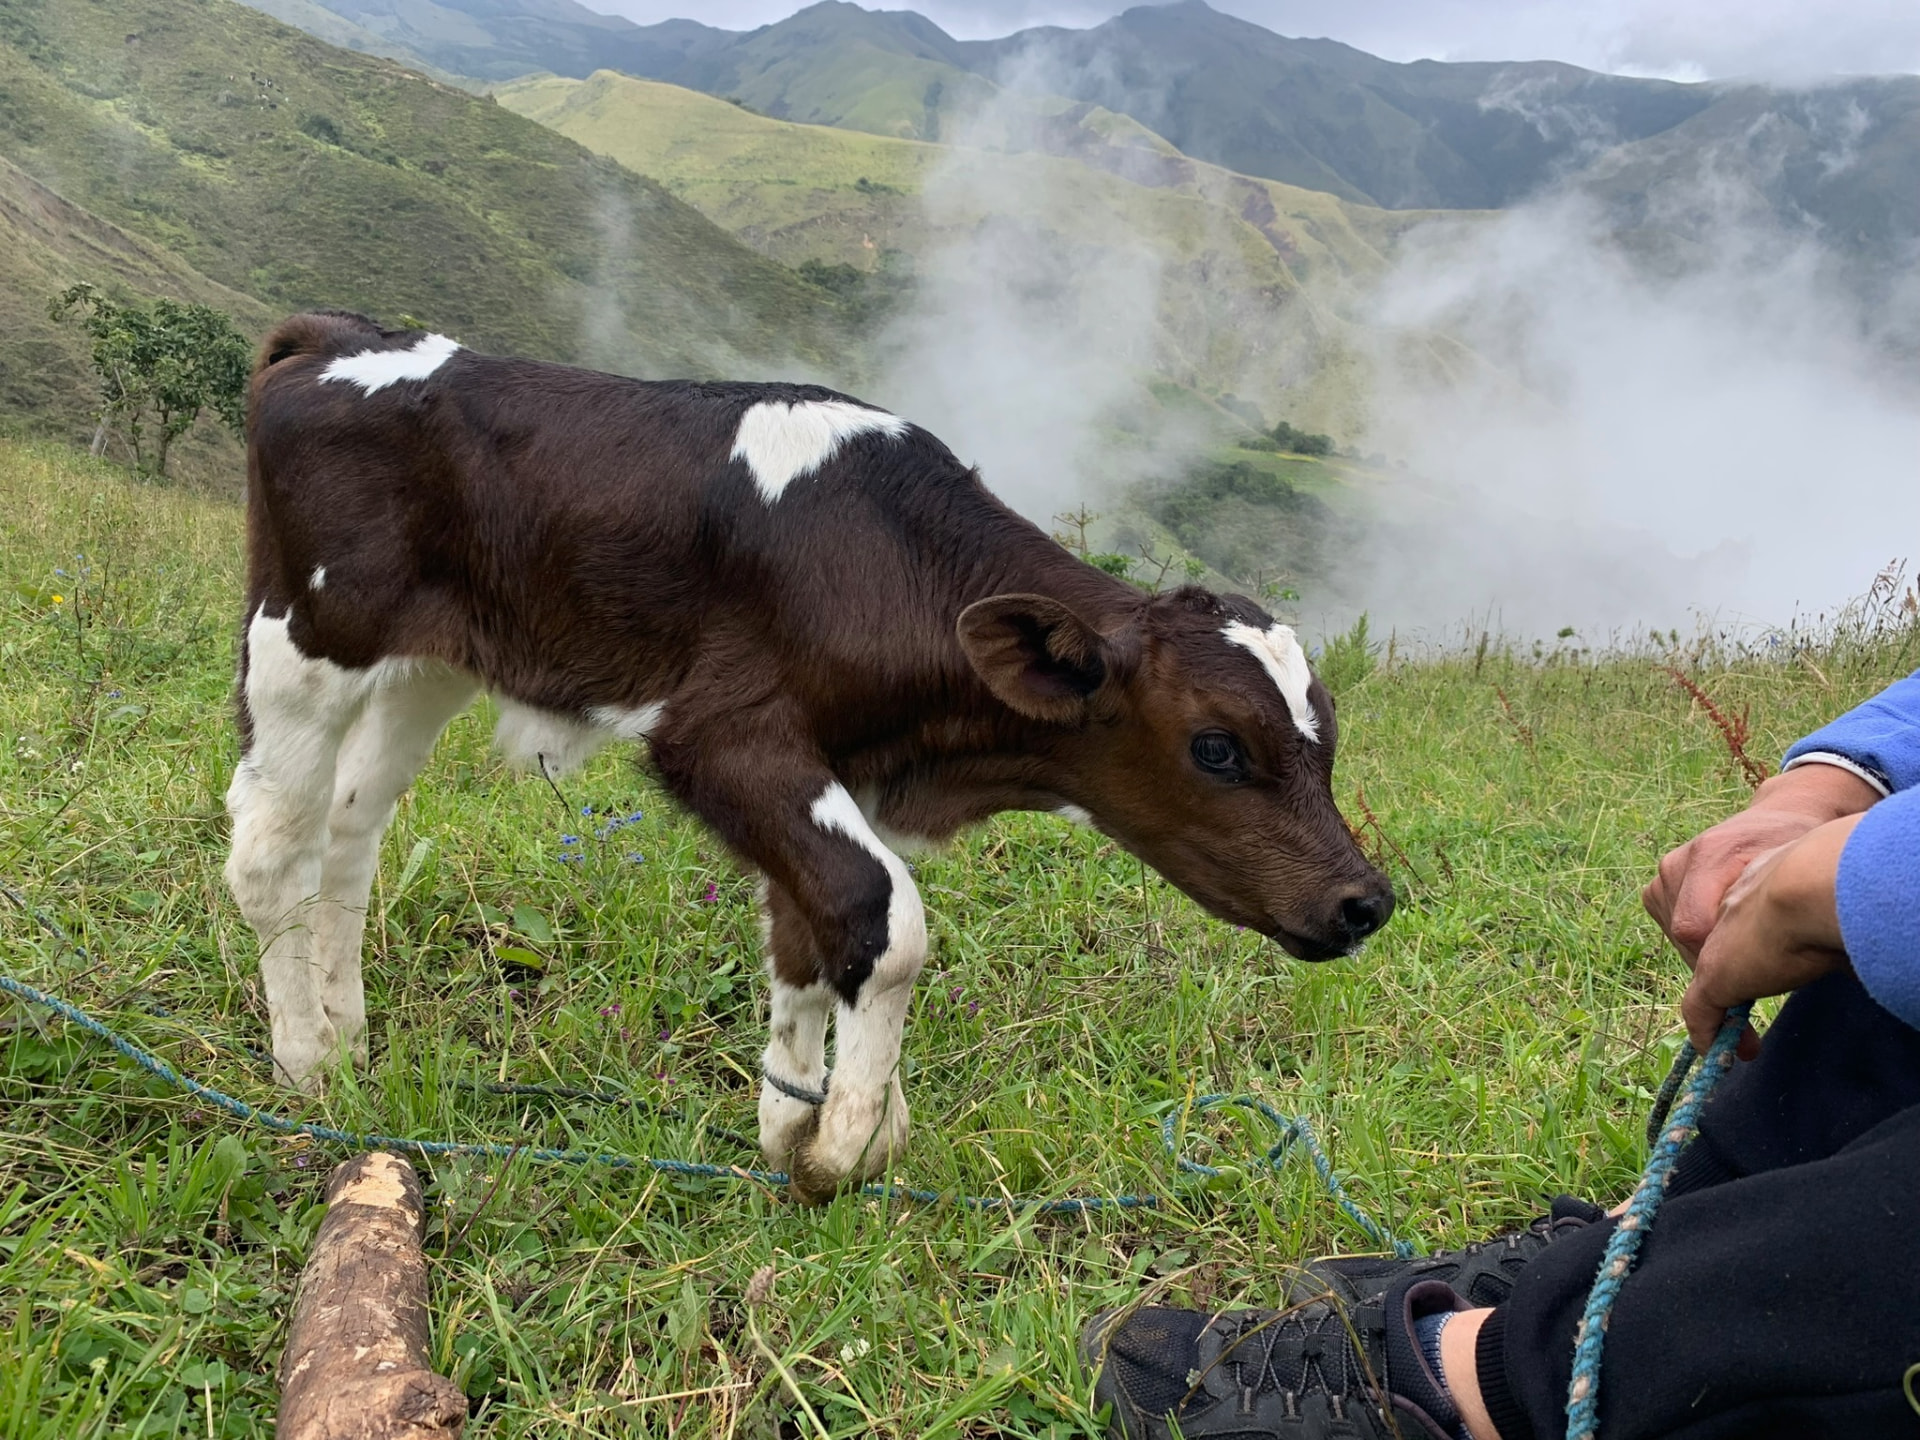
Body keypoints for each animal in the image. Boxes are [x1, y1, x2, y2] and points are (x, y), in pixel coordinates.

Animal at [225, 311, 1394, 1203]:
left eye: (1326, 743)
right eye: (1217, 747)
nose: (1364, 902)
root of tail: (340, 333)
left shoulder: (826, 769)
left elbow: (809, 932)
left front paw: (791, 1121)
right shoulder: (720, 735)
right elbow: (887, 917)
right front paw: (851, 1142)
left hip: (430, 660)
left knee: (350, 834)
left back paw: (349, 1030)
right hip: (308, 631)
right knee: (271, 847)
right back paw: (307, 1063)